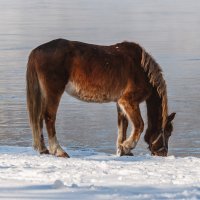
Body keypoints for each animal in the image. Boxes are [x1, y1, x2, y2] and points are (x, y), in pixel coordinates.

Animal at [26, 38, 175, 158]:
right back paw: (58, 151)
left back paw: (43, 149)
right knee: (49, 117)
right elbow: (139, 125)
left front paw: (123, 150)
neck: (142, 70)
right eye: (167, 132)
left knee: (38, 118)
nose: (163, 153)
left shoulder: (120, 103)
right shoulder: (128, 101)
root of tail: (36, 51)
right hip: (54, 92)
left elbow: (123, 126)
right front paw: (127, 146)